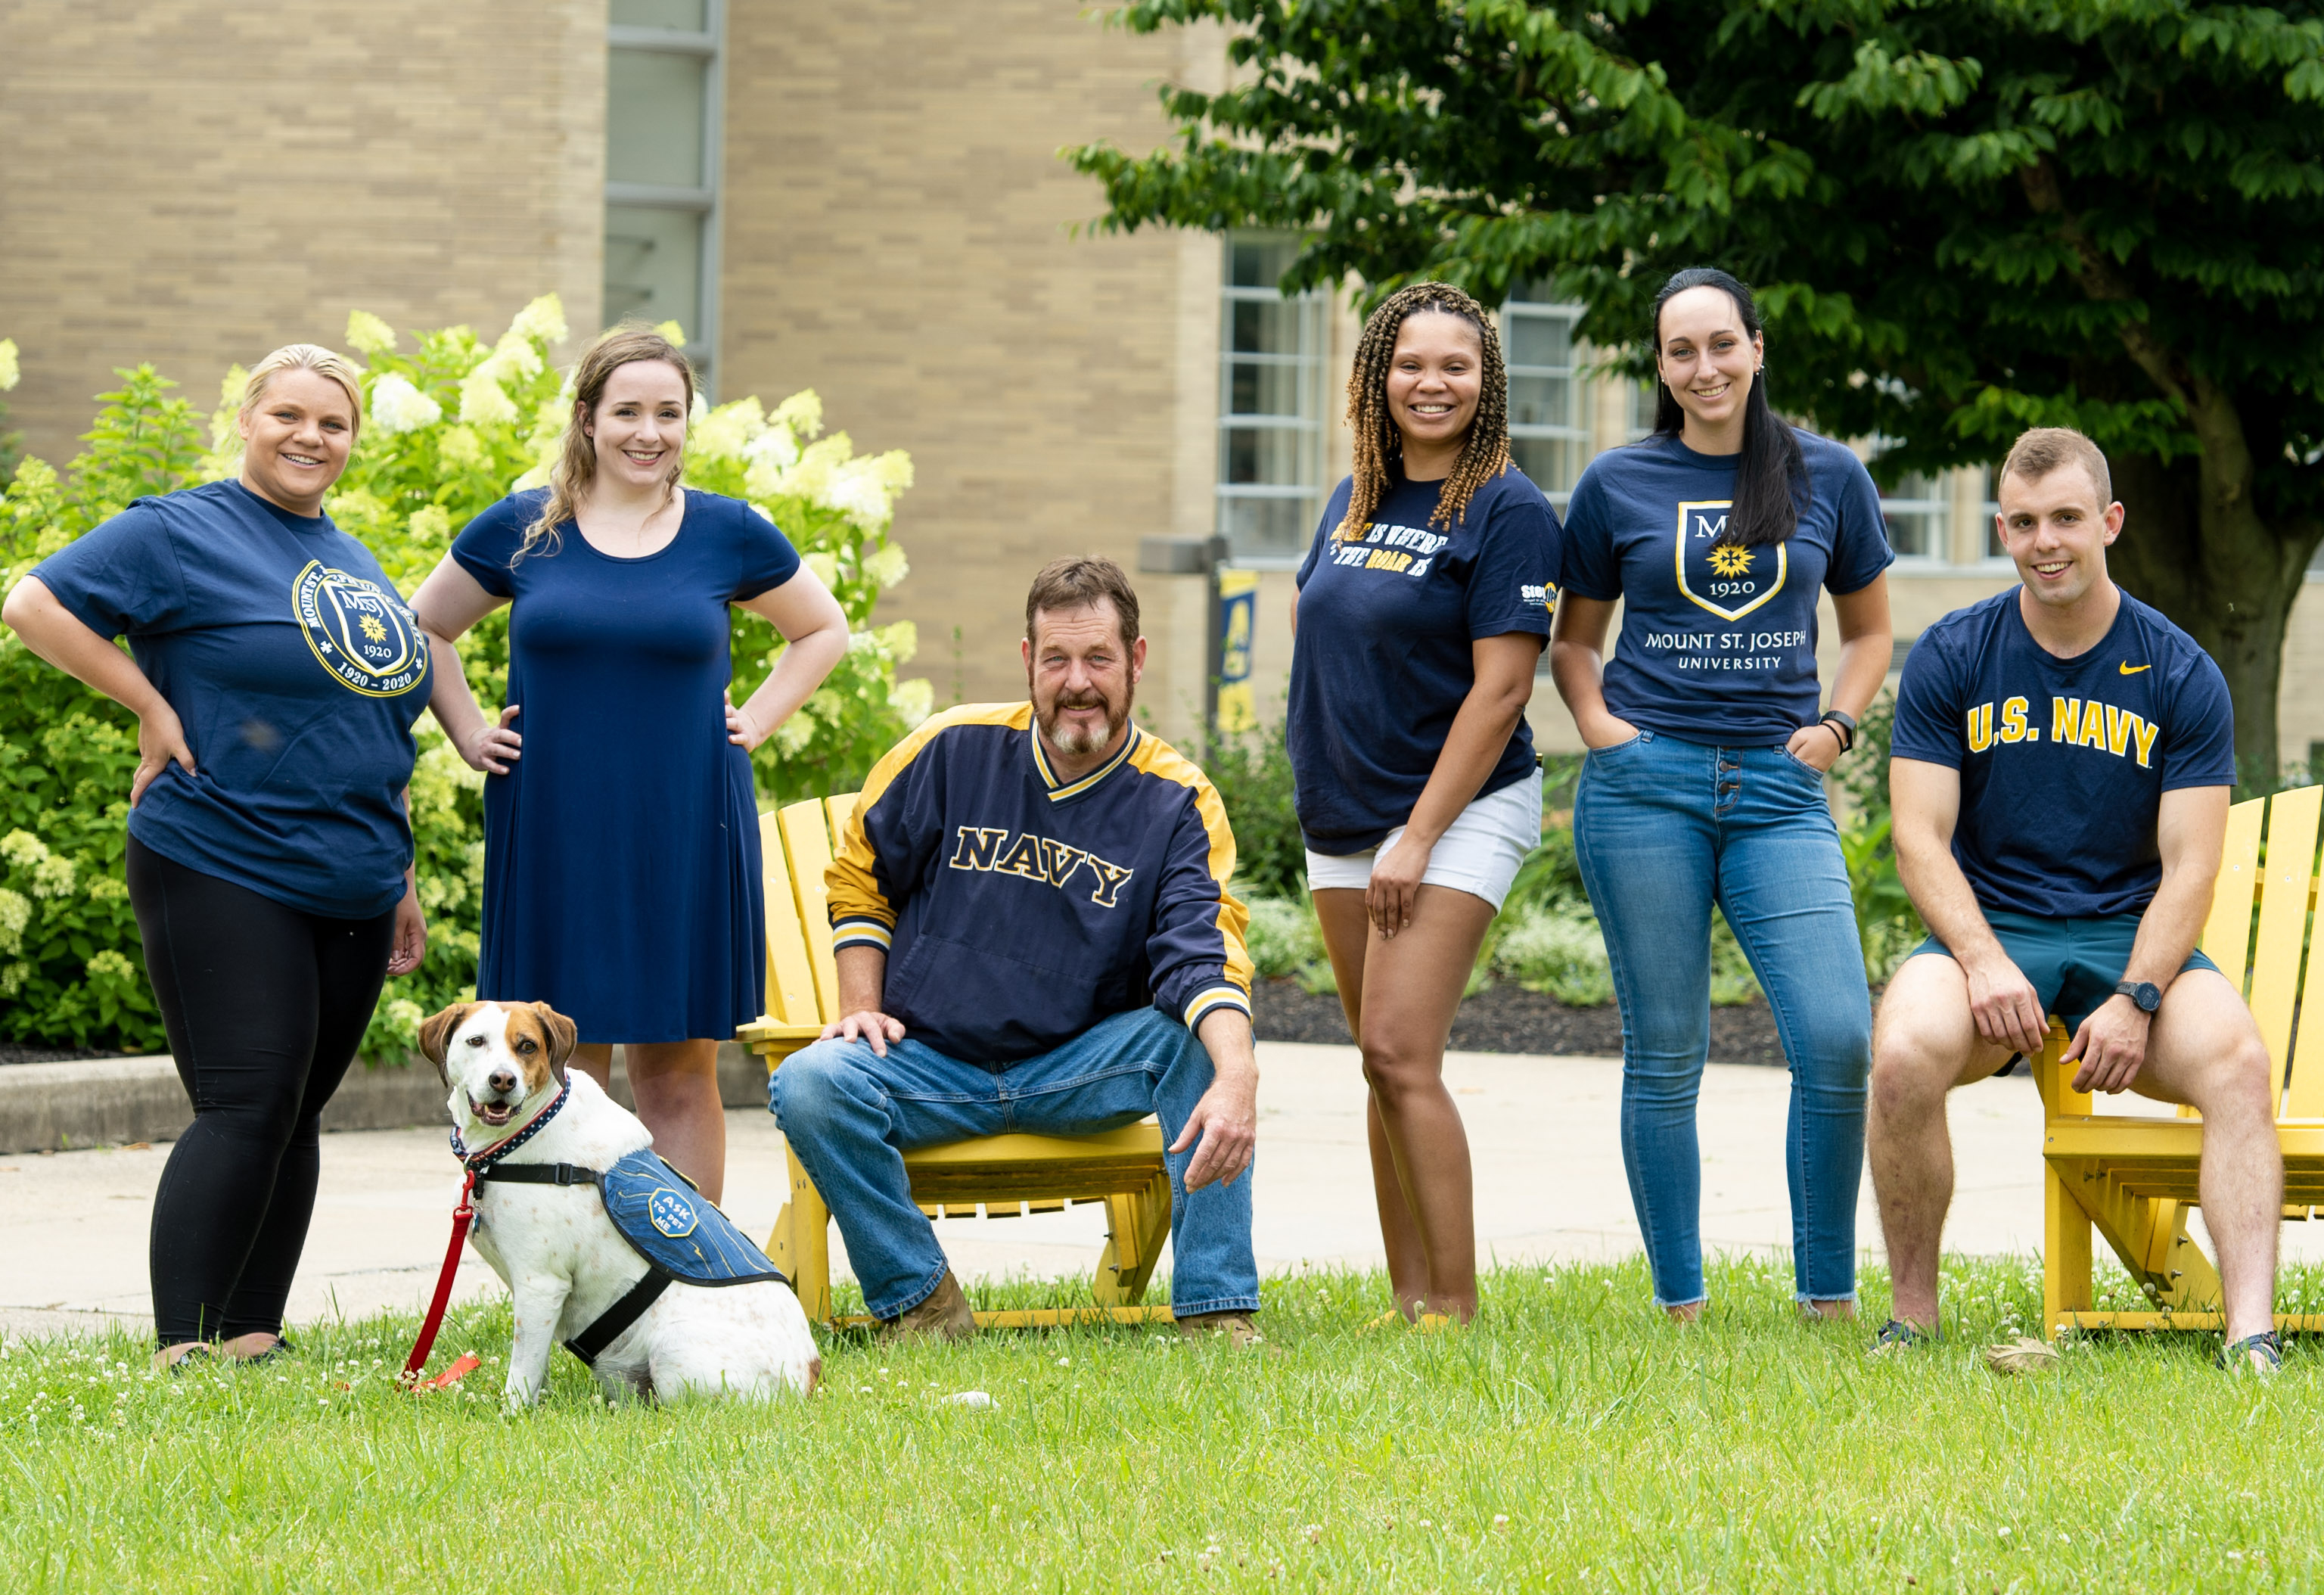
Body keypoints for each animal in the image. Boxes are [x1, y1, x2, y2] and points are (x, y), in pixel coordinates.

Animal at [423, 1004, 822, 1404]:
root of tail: (808, 1378)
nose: (503, 1080)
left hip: (672, 1349)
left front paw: (514, 1413)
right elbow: (536, 1366)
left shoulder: (540, 1284)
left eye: (527, 1046)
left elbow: (521, 1376)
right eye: (476, 1041)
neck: (525, 1133)